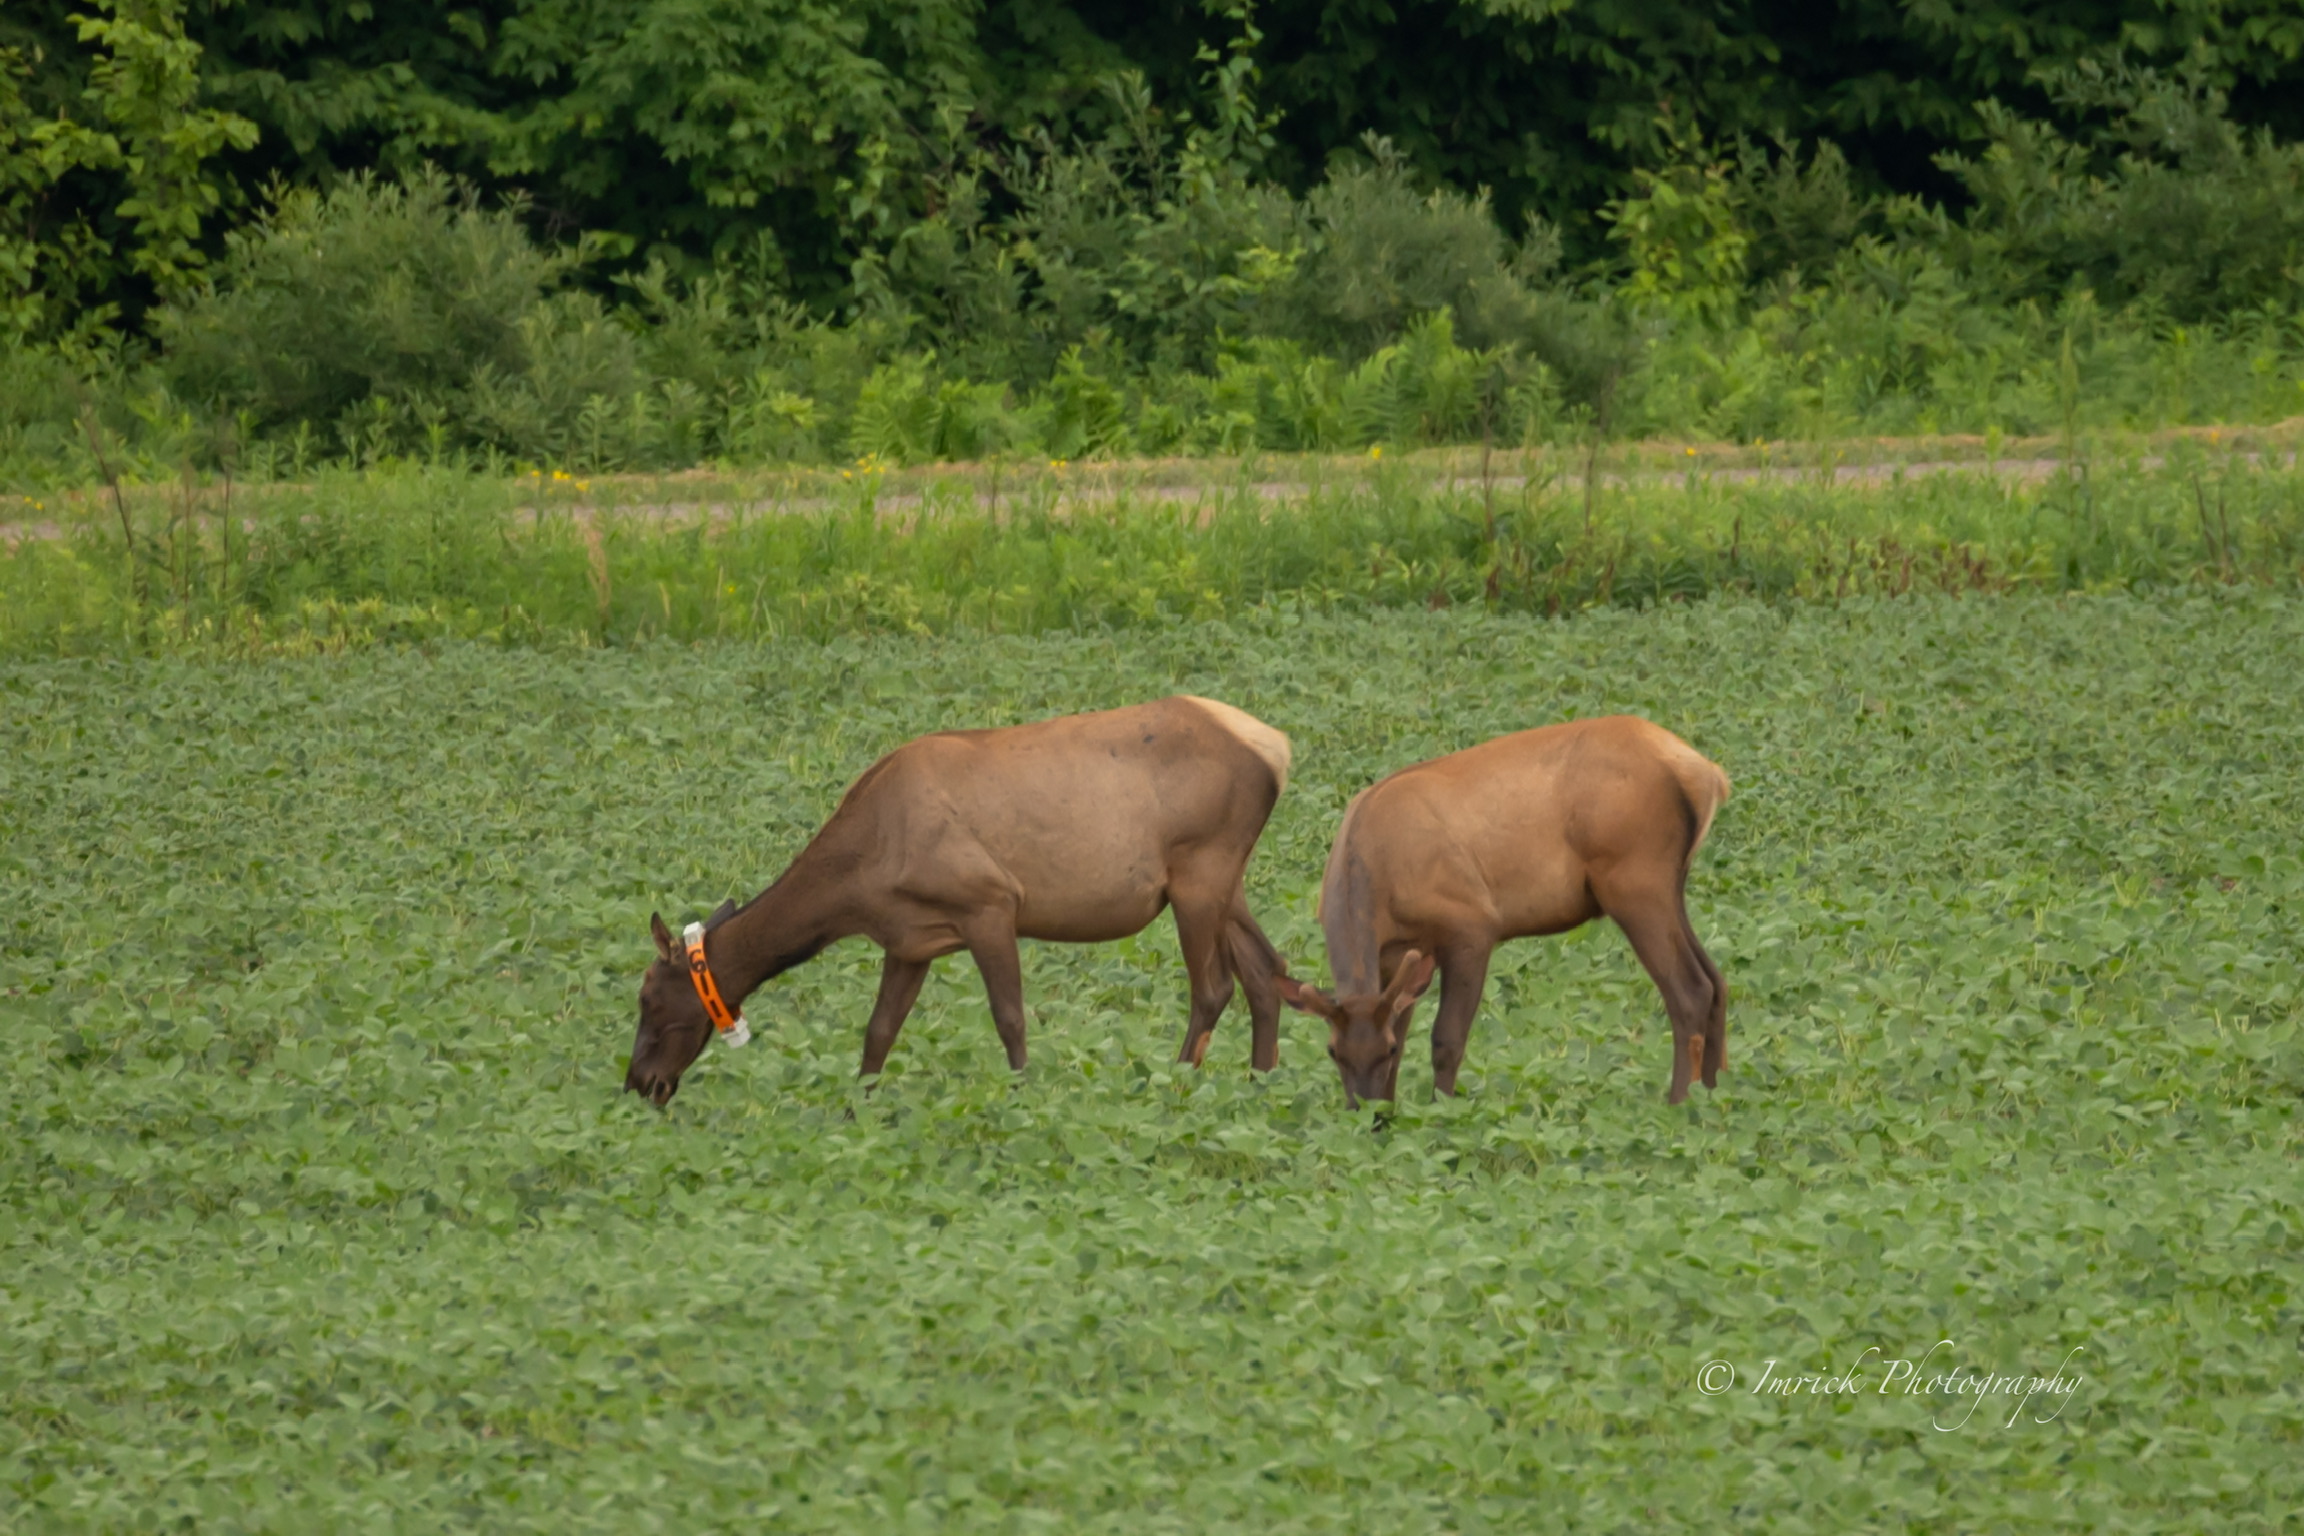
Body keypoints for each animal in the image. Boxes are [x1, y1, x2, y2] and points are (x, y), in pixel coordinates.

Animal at [624, 697, 1295, 1105]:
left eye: (649, 1000)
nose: (637, 1082)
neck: (856, 885)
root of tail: (1278, 748)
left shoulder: (990, 903)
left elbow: (1010, 1018)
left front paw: (1023, 1101)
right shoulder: (908, 939)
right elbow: (878, 1032)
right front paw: (855, 1112)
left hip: (1199, 870)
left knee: (1215, 987)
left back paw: (1177, 1085)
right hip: (1223, 879)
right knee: (1268, 972)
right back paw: (1262, 1087)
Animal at [1276, 716, 1730, 1108]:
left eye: (1381, 1051)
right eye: (1332, 1051)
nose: (1364, 1111)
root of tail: (1707, 774)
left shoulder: (1471, 925)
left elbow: (1446, 1038)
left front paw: (1440, 1111)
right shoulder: (1398, 954)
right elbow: (1405, 1031)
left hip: (1634, 879)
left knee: (1690, 989)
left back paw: (1679, 1102)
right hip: (1668, 884)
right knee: (1716, 980)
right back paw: (1714, 1094)